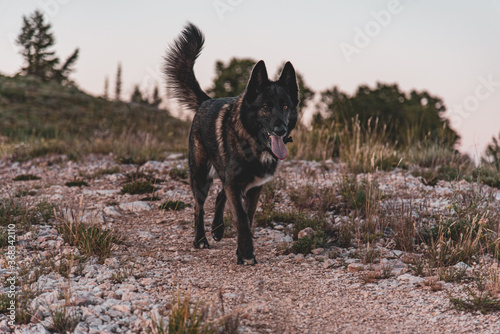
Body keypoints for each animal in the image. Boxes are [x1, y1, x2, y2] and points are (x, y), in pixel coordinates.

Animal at [164, 22, 296, 264]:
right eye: (265, 107)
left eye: (285, 107)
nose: (280, 130)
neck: (253, 142)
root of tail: (206, 101)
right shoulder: (235, 184)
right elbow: (241, 218)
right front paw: (246, 253)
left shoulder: (253, 188)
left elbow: (248, 217)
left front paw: (241, 250)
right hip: (201, 176)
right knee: (198, 207)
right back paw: (200, 240)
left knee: (219, 195)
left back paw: (217, 229)